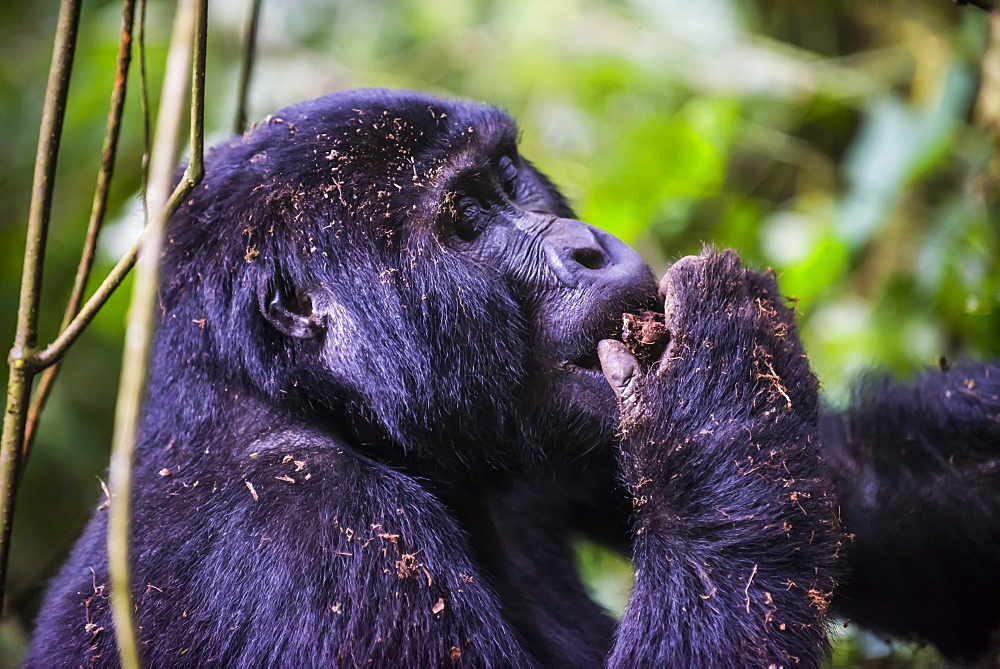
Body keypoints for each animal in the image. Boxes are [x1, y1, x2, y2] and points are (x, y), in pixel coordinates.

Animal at [23, 87, 1000, 664]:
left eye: (507, 176)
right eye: (462, 217)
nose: (588, 246)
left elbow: (865, 488)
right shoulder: (311, 535)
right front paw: (720, 393)